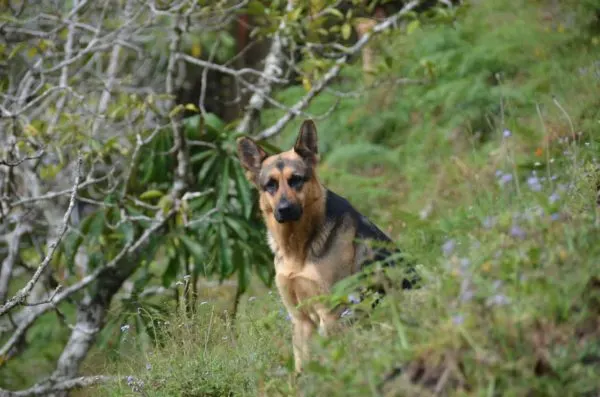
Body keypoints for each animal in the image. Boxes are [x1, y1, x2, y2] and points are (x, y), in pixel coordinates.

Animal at [237, 118, 414, 372]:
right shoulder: (300, 319)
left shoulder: (331, 313)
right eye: (270, 185)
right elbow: (302, 366)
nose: (284, 209)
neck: (297, 249)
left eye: (296, 180)